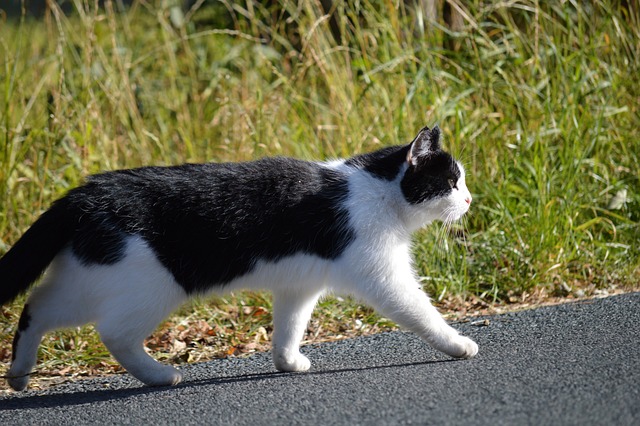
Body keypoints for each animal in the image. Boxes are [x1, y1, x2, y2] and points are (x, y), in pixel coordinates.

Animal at [2, 125, 478, 392]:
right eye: (451, 182)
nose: (471, 199)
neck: (377, 190)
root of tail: (85, 193)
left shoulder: (299, 285)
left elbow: (289, 327)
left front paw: (288, 362)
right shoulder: (384, 277)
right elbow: (421, 312)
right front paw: (458, 344)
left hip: (87, 274)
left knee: (36, 307)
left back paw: (19, 373)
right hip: (144, 286)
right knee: (112, 333)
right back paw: (160, 376)